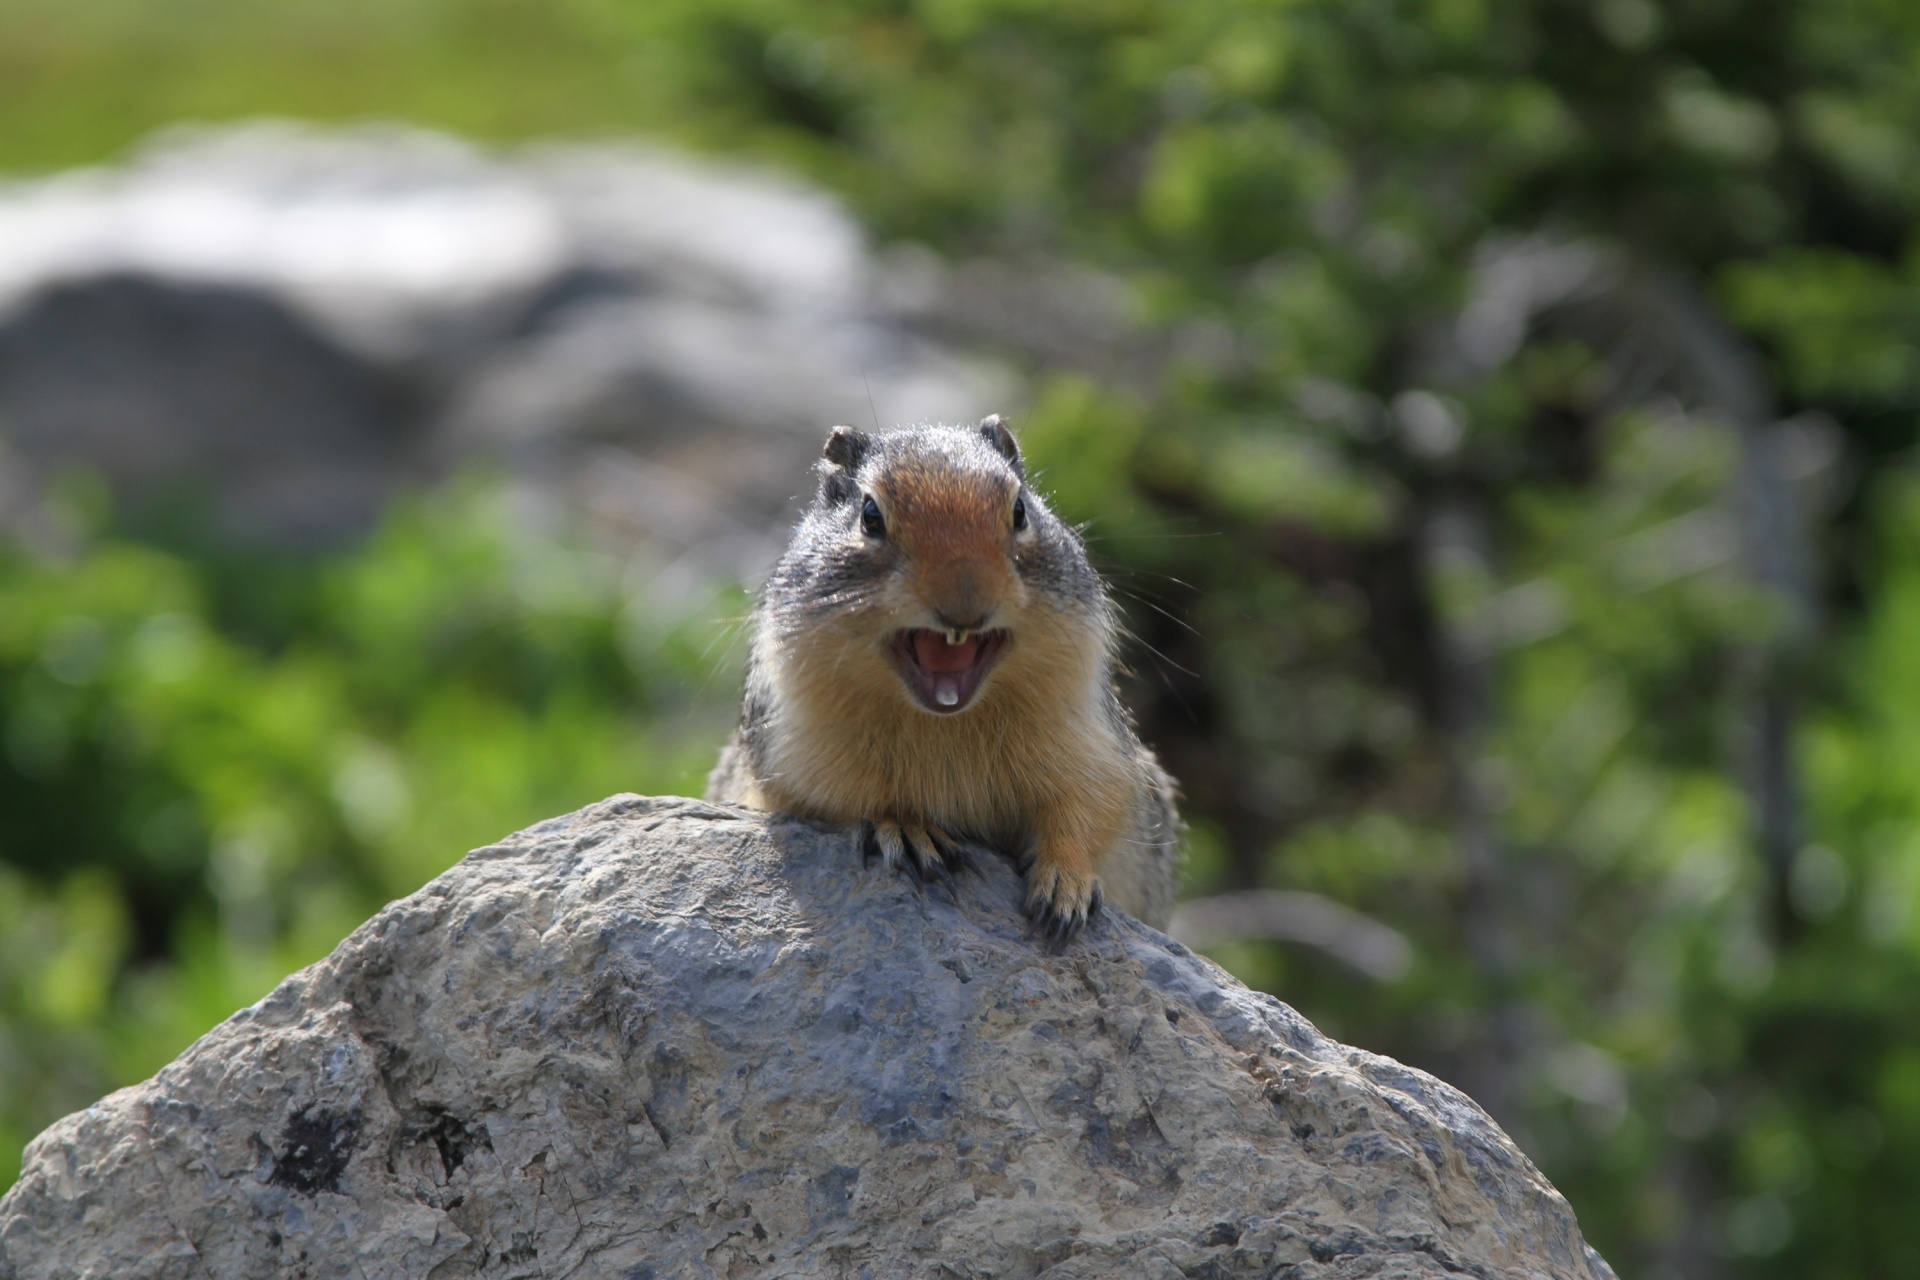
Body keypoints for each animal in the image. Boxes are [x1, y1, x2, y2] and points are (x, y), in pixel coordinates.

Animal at [710, 416, 1175, 936]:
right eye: (870, 516)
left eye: (1020, 510)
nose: (966, 602)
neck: (946, 723)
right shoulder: (795, 752)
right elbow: (847, 797)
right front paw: (908, 829)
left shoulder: (1094, 744)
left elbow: (1088, 810)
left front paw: (1065, 883)